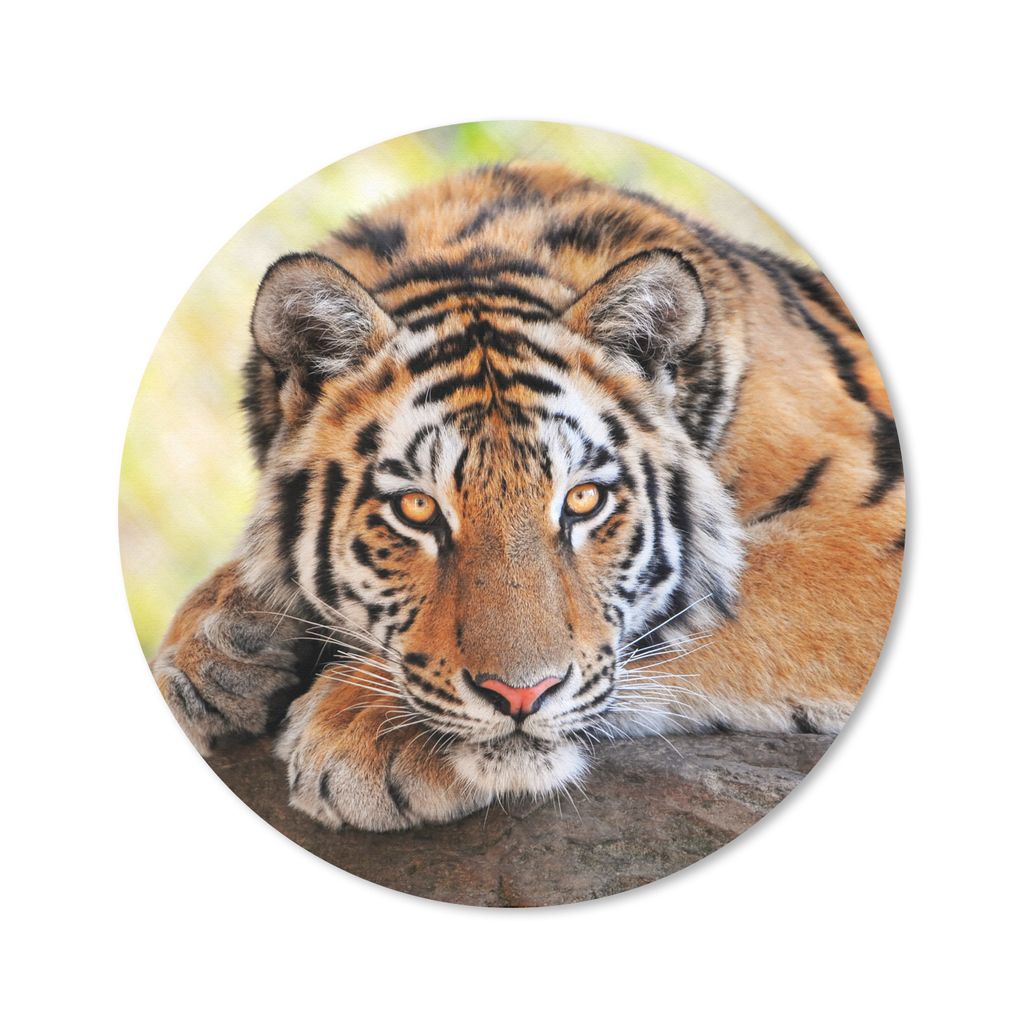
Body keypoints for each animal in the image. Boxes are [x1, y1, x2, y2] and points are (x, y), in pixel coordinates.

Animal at [152, 161, 905, 832]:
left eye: (583, 501)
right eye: (417, 509)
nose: (521, 696)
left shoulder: (870, 533)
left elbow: (690, 612)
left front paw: (363, 725)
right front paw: (216, 651)